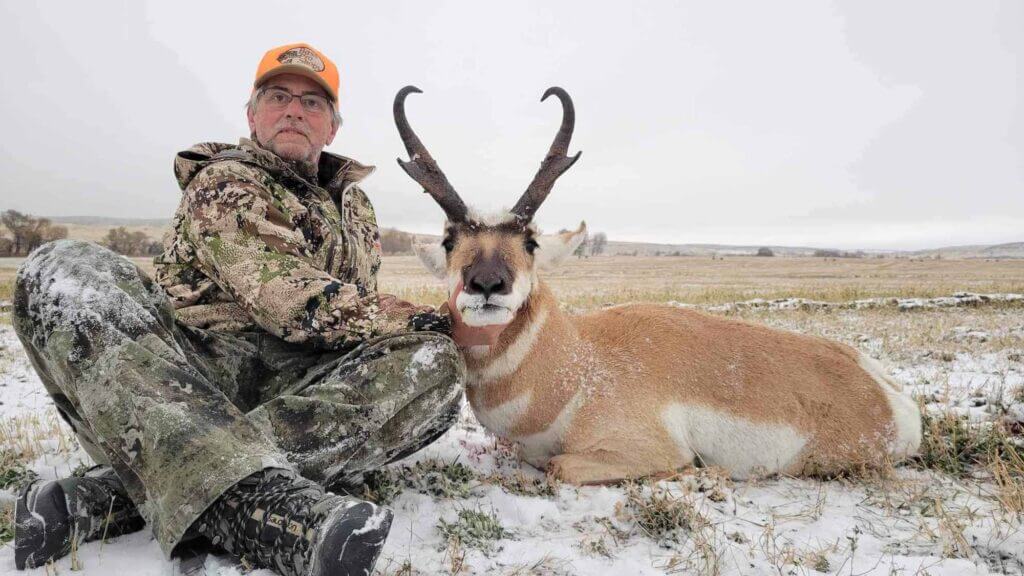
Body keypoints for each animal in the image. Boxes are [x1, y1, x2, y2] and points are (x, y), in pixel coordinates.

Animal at [393, 85, 922, 484]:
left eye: (530, 241)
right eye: (449, 240)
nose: (487, 283)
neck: (579, 363)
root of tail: (890, 396)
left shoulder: (644, 449)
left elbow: (561, 466)